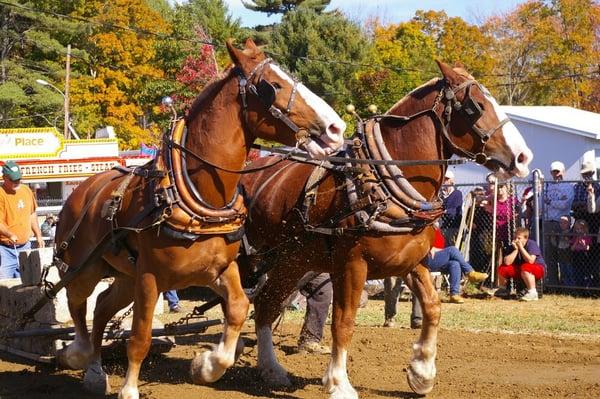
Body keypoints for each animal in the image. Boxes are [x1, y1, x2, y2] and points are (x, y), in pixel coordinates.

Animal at [54, 38, 350, 399]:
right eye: (273, 86)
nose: (336, 128)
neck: (198, 196)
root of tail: (81, 190)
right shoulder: (150, 278)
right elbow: (140, 339)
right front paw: (130, 390)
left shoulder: (220, 269)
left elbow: (237, 309)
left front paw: (206, 366)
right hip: (85, 269)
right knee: (77, 303)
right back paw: (80, 356)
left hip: (124, 276)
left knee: (102, 307)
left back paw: (96, 372)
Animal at [239, 61, 528, 398]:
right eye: (476, 106)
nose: (523, 157)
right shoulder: (351, 266)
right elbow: (343, 321)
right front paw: (339, 383)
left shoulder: (411, 262)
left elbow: (433, 307)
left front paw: (422, 372)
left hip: (291, 262)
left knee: (264, 305)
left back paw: (270, 369)